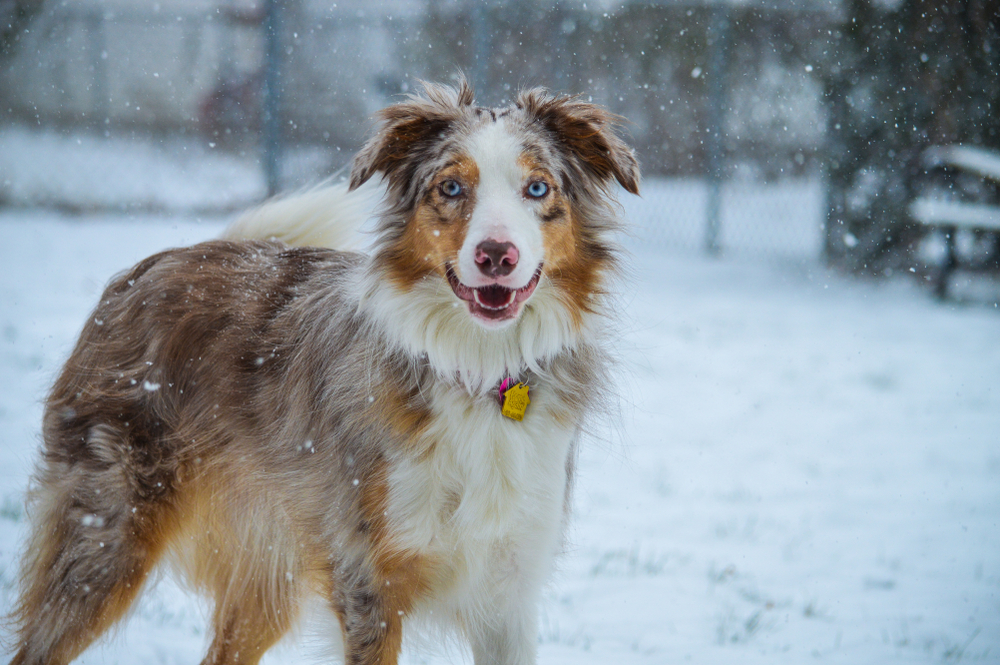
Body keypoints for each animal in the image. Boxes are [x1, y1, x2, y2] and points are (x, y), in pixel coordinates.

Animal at [9, 79, 640, 664]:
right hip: (105, 538)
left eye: (538, 187)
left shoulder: (508, 589)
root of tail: (151, 268)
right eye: (451, 187)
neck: (477, 371)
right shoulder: (368, 582)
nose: (496, 256)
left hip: (265, 574)